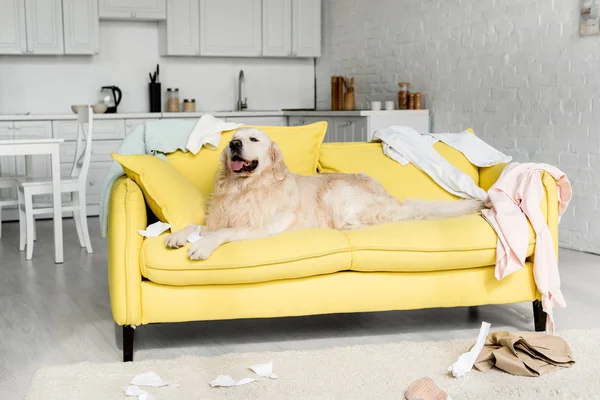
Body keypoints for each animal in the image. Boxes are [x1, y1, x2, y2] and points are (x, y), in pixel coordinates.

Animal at [166, 126, 486, 260]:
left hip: (337, 194)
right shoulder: (218, 217)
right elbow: (196, 225)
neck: (244, 188)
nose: (233, 145)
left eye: (253, 139)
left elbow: (223, 233)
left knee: (364, 225)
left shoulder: (259, 228)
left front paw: (201, 247)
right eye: (234, 139)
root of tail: (389, 198)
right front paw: (178, 236)